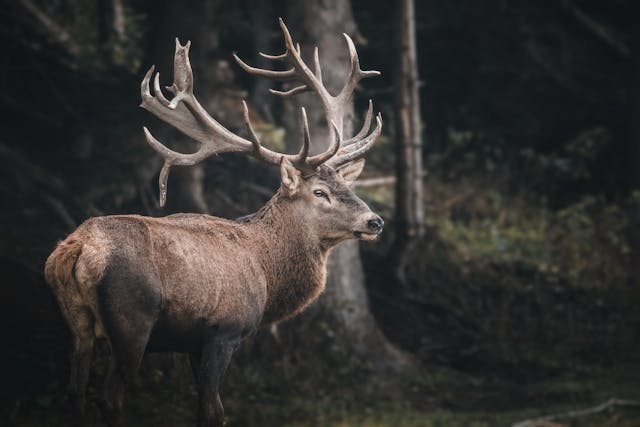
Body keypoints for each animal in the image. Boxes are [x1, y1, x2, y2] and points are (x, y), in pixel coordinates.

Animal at [45, 18, 384, 426]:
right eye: (320, 192)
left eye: (346, 185)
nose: (375, 221)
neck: (266, 274)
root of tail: (76, 249)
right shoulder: (224, 330)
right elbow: (211, 409)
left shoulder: (192, 343)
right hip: (132, 319)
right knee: (110, 396)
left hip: (75, 322)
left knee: (73, 392)